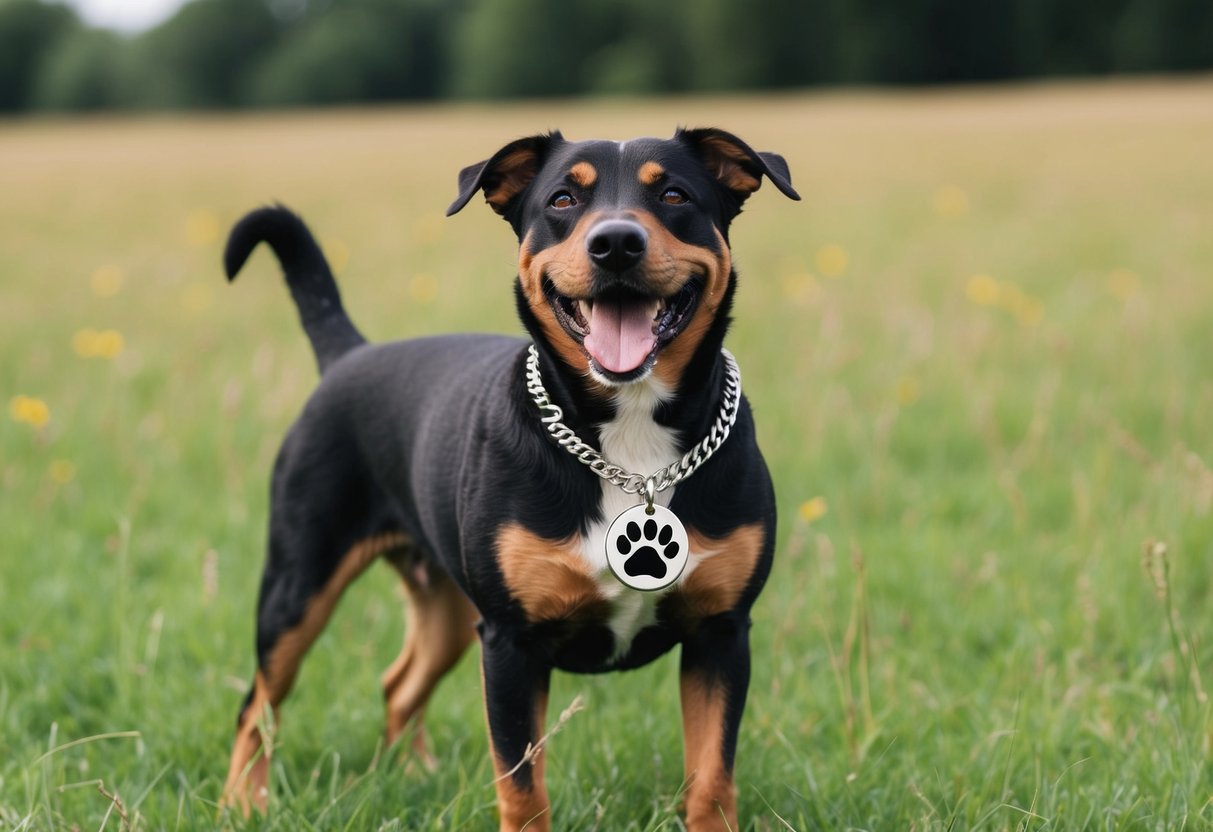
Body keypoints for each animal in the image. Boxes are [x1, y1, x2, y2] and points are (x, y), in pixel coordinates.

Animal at [223, 127, 800, 829]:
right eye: (561, 199)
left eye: (673, 195)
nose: (615, 243)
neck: (629, 436)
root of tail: (349, 355)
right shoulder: (509, 643)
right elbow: (522, 786)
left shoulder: (722, 632)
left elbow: (712, 778)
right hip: (298, 585)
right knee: (257, 703)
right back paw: (243, 801)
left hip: (444, 605)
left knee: (398, 685)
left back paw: (413, 774)